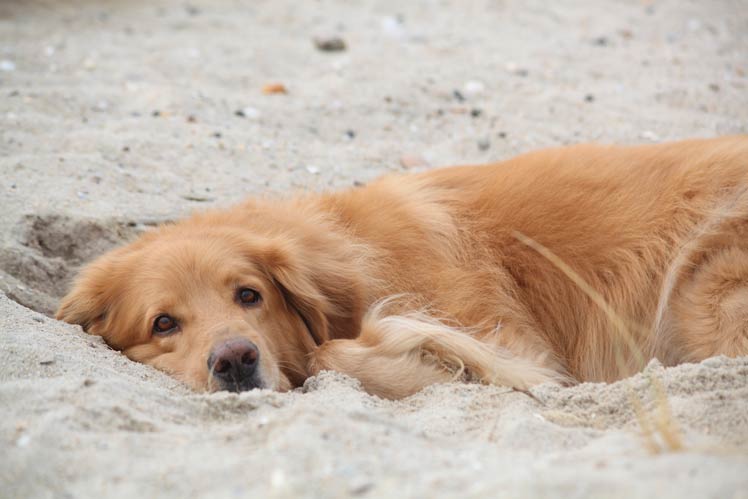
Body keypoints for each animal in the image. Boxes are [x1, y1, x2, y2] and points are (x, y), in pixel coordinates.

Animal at [55, 139, 748, 400]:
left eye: (249, 296)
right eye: (163, 324)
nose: (235, 360)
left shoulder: (510, 338)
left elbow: (333, 354)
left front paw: (427, 360)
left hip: (706, 288)